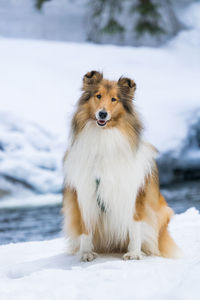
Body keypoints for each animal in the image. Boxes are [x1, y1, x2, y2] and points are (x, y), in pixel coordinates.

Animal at [62, 70, 180, 260]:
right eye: (98, 96)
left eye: (114, 99)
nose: (102, 114)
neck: (104, 137)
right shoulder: (84, 194)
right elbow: (86, 227)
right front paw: (86, 253)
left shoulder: (133, 194)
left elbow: (134, 225)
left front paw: (134, 253)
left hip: (163, 212)